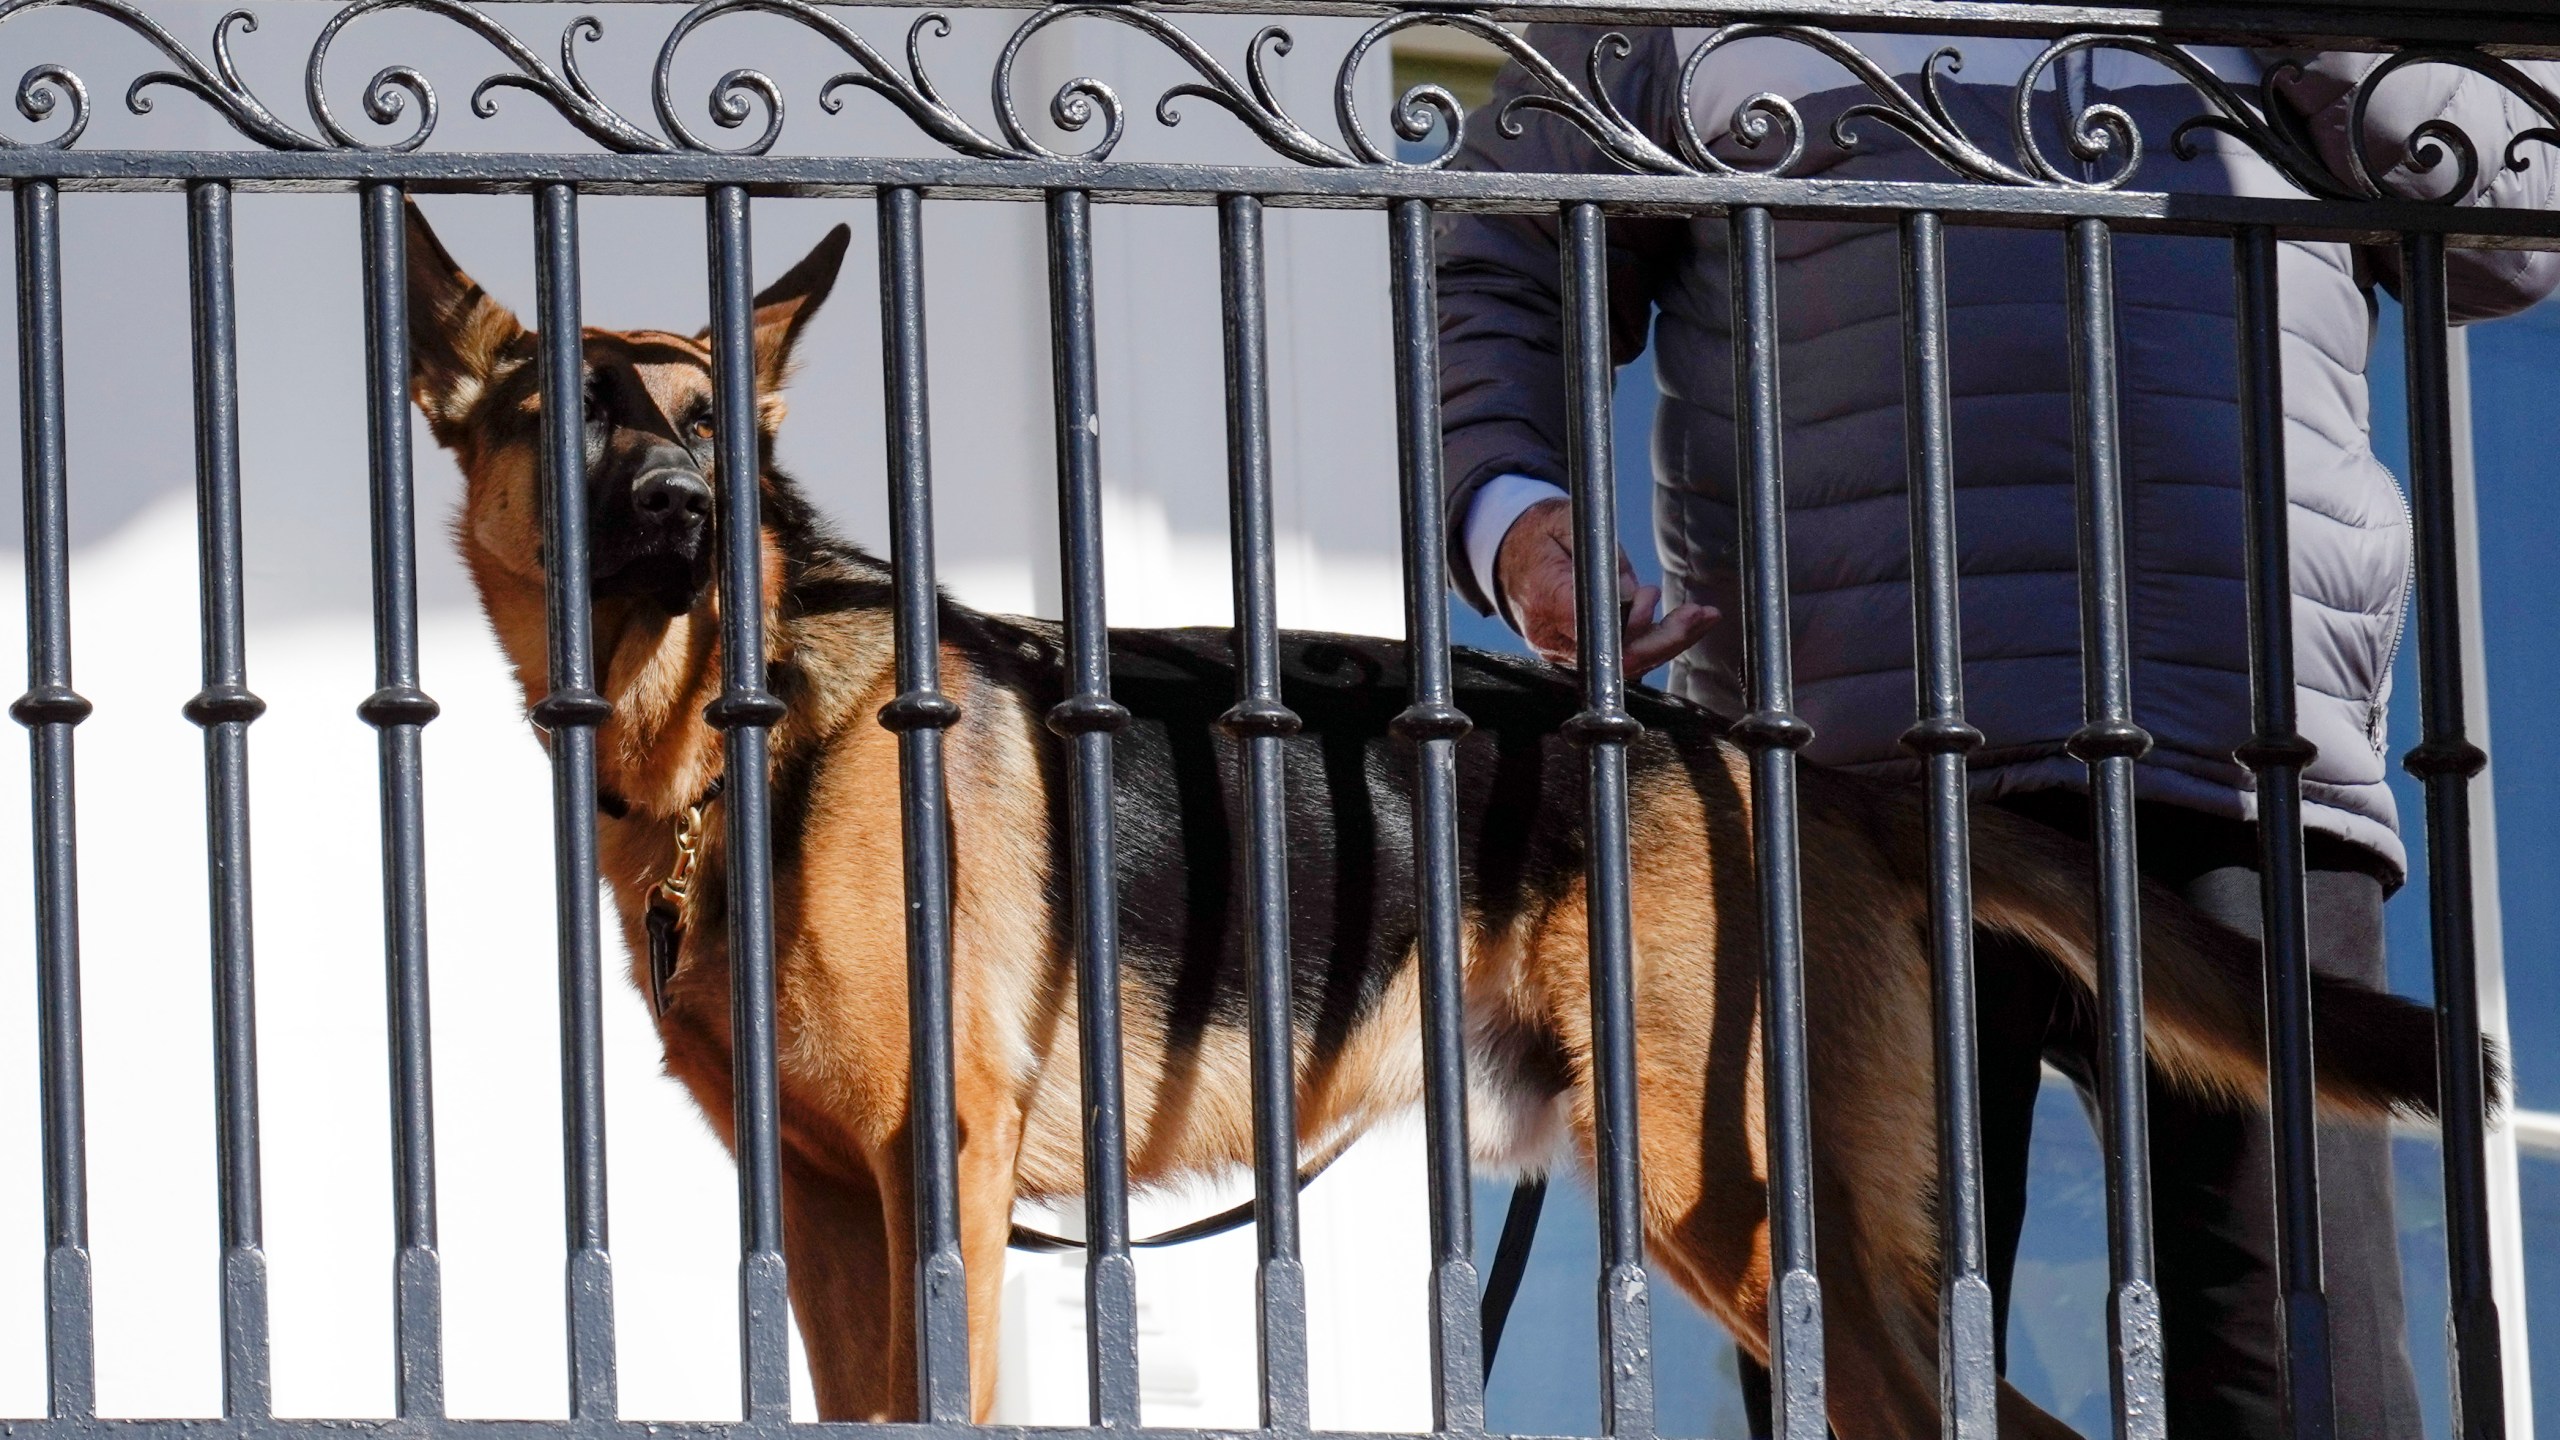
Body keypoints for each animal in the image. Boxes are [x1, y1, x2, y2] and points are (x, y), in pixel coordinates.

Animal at [409, 204, 2467, 1434]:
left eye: (706, 429)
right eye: (562, 412)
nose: (684, 511)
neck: (731, 736)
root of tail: (1795, 763)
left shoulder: (943, 1184)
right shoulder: (835, 1212)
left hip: (1729, 1200)